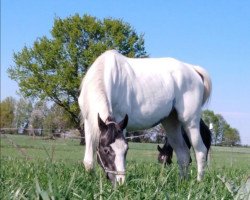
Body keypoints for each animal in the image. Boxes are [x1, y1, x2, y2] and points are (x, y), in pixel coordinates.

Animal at [78, 49, 211, 184]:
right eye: (106, 150)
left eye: (126, 149)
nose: (120, 181)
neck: (106, 73)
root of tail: (192, 69)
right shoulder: (89, 123)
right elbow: (88, 161)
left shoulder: (121, 121)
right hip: (171, 123)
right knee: (183, 154)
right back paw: (182, 182)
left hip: (191, 122)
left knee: (200, 152)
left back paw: (198, 182)